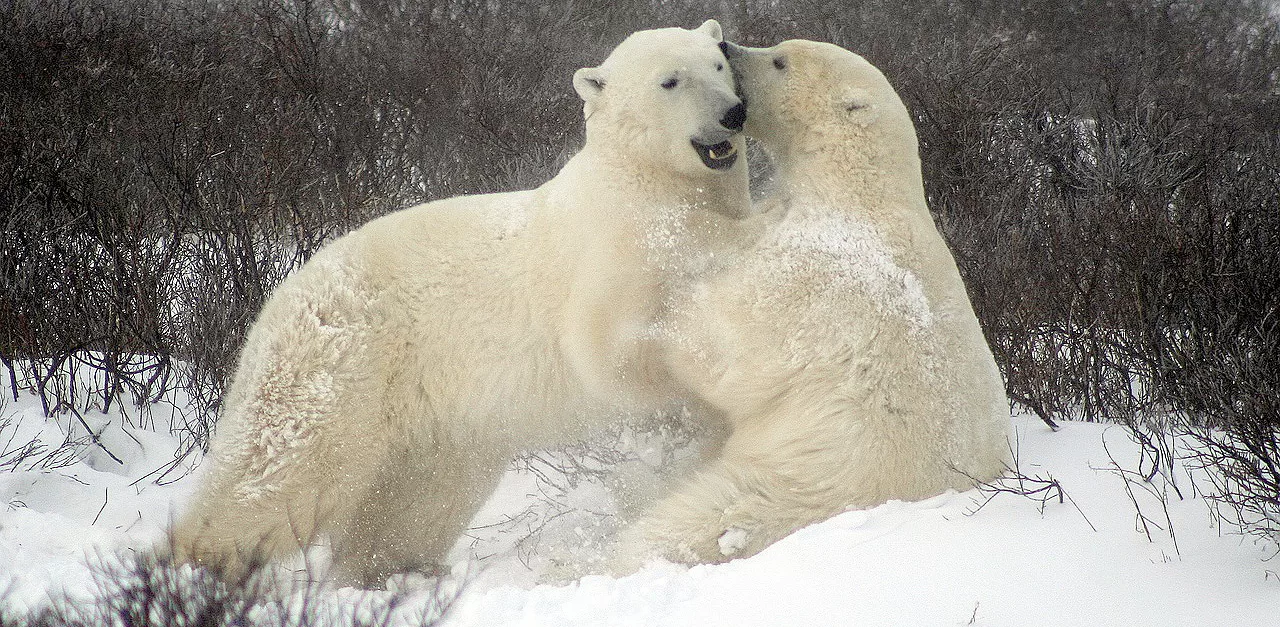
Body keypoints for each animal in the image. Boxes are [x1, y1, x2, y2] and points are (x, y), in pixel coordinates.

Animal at [609, 40, 1008, 568]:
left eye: (780, 59)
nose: (727, 46)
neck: (856, 191)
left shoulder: (814, 275)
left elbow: (729, 347)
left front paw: (663, 309)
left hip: (797, 480)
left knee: (696, 520)